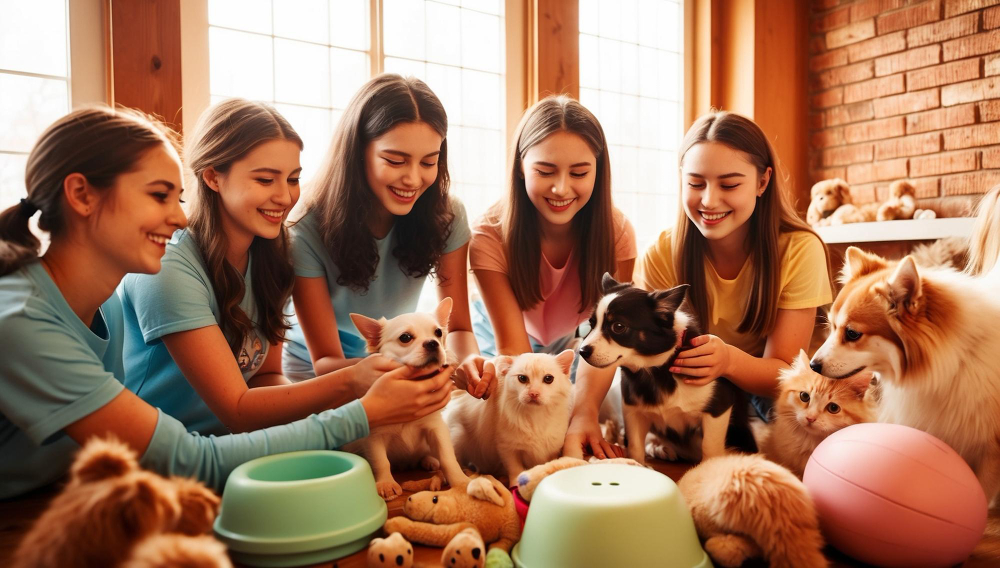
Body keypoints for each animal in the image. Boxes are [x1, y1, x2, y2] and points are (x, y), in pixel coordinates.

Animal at [576, 272, 752, 464]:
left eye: (618, 327)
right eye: (591, 324)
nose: (582, 351)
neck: (655, 369)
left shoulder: (718, 408)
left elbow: (710, 447)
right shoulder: (633, 412)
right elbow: (635, 447)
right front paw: (637, 464)